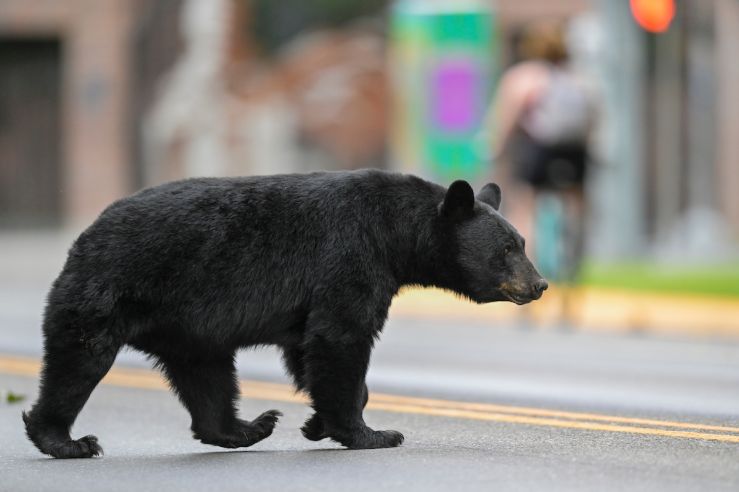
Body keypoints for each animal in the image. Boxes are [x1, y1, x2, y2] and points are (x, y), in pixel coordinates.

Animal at [23, 169, 548, 458]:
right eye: (507, 249)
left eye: (522, 243)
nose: (540, 284)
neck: (395, 234)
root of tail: (85, 235)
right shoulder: (350, 255)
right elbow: (340, 336)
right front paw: (373, 433)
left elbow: (308, 348)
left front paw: (318, 423)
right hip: (109, 291)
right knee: (77, 361)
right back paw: (66, 441)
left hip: (188, 327)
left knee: (207, 377)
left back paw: (248, 427)